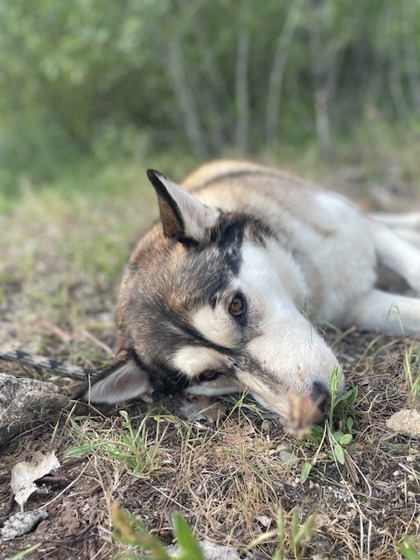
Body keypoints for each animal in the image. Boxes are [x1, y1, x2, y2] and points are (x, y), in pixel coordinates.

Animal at [75, 160, 420, 436]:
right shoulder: (358, 307)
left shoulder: (364, 231)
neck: (313, 276)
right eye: (209, 375)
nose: (314, 409)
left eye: (236, 306)